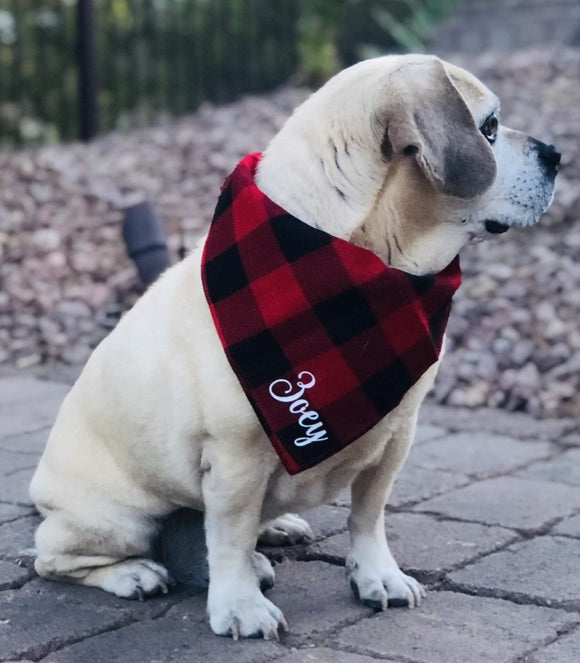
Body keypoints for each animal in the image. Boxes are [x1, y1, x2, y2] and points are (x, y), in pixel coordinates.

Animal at [29, 54, 560, 640]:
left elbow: (368, 515)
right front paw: (239, 605)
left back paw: (272, 530)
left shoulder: (396, 437)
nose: (556, 155)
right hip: (120, 517)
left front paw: (377, 574)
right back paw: (135, 574)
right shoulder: (236, 457)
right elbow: (231, 537)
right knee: (57, 557)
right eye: (489, 127)